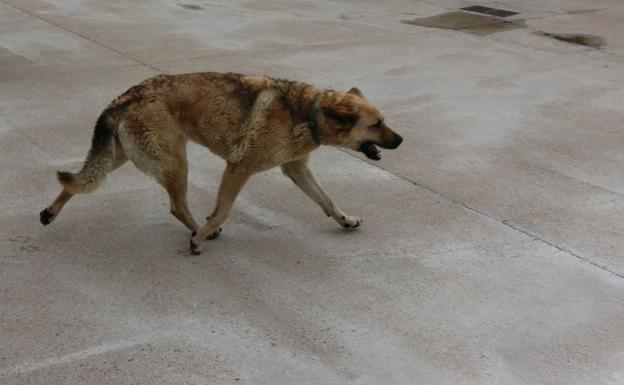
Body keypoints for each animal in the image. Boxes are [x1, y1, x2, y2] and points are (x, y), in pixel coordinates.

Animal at [42, 72, 404, 254]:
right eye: (376, 124)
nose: (401, 140)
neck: (308, 112)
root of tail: (123, 98)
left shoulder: (297, 169)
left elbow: (327, 201)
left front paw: (346, 220)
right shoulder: (239, 167)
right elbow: (221, 211)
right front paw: (201, 237)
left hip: (122, 155)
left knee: (78, 181)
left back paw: (51, 211)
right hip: (175, 162)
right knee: (177, 206)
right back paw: (198, 233)